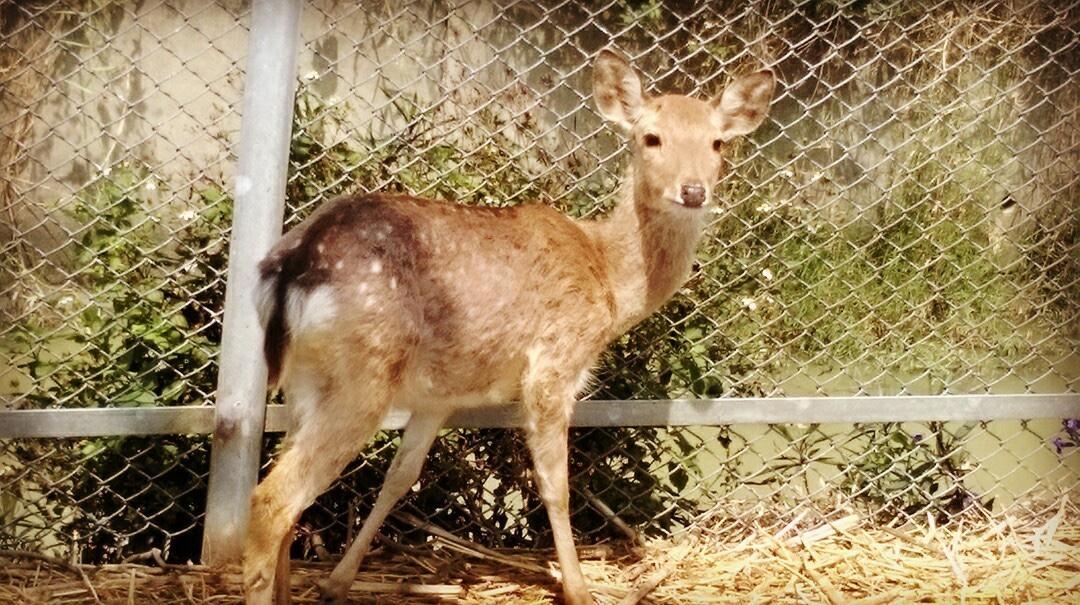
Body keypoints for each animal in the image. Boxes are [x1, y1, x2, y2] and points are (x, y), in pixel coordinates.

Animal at [240, 48, 773, 605]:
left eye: (717, 142)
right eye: (651, 137)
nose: (693, 190)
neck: (606, 279)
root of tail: (294, 265)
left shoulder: (439, 395)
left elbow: (401, 475)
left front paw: (337, 581)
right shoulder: (554, 362)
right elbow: (554, 483)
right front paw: (578, 588)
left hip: (305, 380)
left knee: (289, 485)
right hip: (363, 374)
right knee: (272, 500)